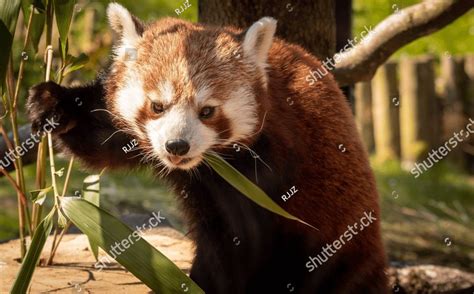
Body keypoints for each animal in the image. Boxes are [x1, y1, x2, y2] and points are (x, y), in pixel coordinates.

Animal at [26, 2, 388, 294]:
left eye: (207, 111)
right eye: (157, 106)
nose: (177, 145)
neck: (202, 166)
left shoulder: (267, 168)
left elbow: (236, 245)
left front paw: (195, 284)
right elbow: (101, 139)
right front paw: (54, 103)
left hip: (341, 248)